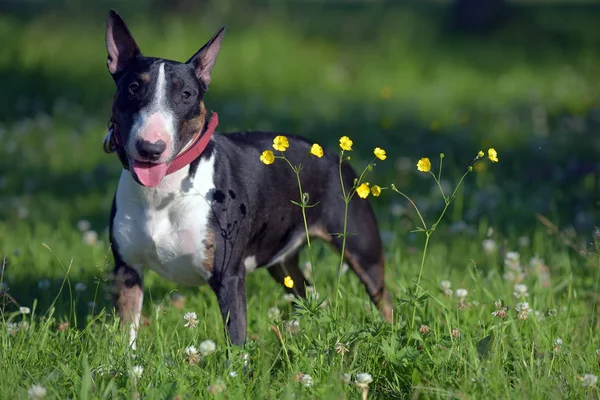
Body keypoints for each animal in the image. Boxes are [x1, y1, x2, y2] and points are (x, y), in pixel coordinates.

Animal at [104, 8, 394, 346]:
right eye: (133, 88)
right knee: (305, 290)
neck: (163, 192)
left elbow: (236, 339)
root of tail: (333, 154)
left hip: (360, 246)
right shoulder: (127, 271)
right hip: (282, 260)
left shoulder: (229, 275)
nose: (151, 148)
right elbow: (127, 334)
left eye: (186, 94)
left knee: (383, 297)